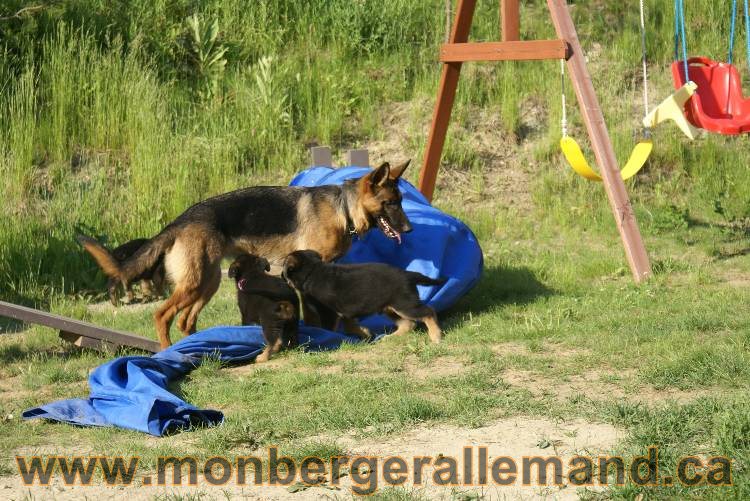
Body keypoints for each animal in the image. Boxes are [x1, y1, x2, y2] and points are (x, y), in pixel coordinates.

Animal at [76, 162, 412, 350]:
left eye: (401, 200)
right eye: (391, 203)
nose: (409, 229)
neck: (343, 208)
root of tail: (179, 221)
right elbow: (322, 313)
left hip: (207, 282)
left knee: (185, 320)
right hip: (196, 282)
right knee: (162, 315)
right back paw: (167, 350)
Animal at [282, 250, 446, 344]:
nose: (281, 277)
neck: (312, 271)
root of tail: (408, 274)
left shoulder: (329, 312)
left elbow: (331, 328)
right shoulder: (345, 311)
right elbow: (350, 325)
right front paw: (365, 334)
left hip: (404, 305)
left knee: (428, 312)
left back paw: (436, 336)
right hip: (390, 308)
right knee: (409, 324)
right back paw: (390, 337)